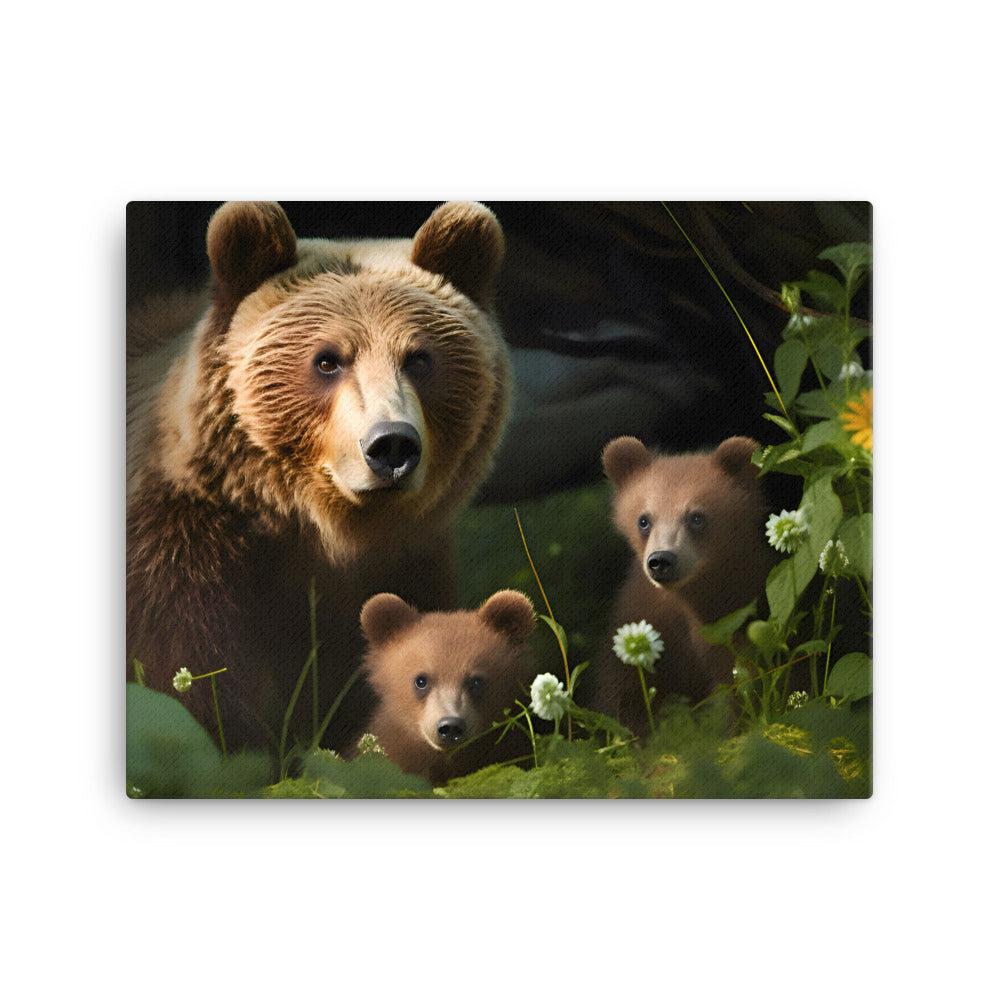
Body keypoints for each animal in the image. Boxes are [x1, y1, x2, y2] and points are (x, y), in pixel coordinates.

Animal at [126, 200, 511, 753]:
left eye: (419, 358)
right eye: (328, 360)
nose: (391, 445)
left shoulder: (403, 564)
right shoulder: (177, 555)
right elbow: (191, 683)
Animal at [590, 435, 773, 734]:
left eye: (696, 516)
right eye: (643, 519)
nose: (661, 560)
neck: (688, 599)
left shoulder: (735, 616)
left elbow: (741, 683)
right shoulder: (645, 615)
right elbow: (625, 693)